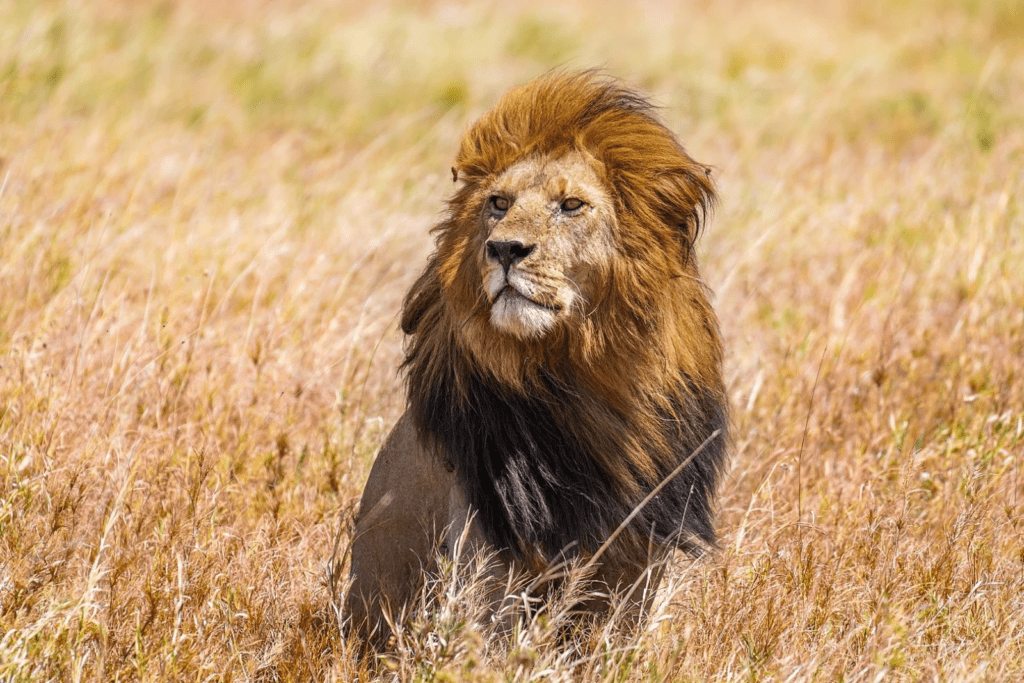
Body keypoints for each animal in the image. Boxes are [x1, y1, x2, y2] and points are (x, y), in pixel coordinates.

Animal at [344, 72, 729, 643]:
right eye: (499, 203)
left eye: (570, 206)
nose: (504, 249)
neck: (581, 375)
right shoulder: (487, 543)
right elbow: (488, 636)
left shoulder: (638, 552)